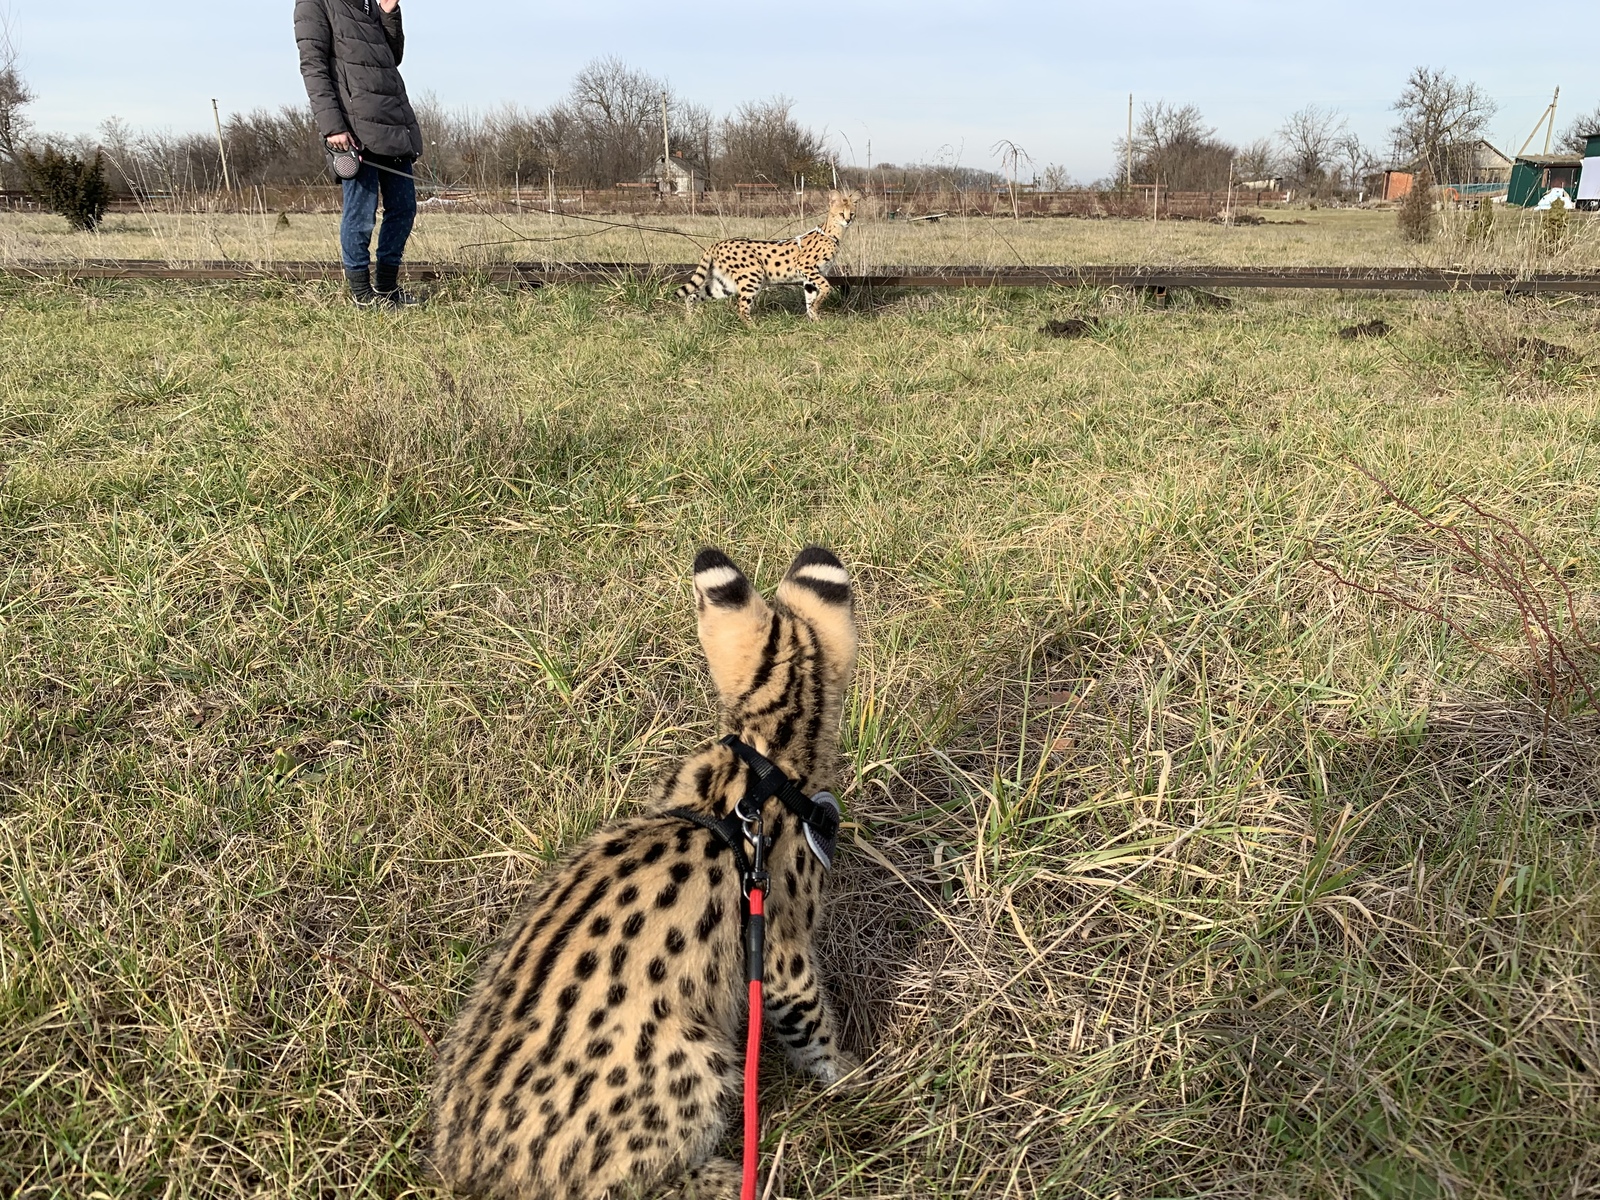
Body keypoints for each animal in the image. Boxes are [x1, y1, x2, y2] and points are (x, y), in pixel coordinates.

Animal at [428, 550, 864, 1196]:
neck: (763, 759)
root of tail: (464, 1169)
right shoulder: (781, 951)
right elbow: (814, 1031)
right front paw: (856, 1078)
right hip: (695, 1063)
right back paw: (727, 1176)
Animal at [672, 190, 857, 320]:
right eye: (841, 213)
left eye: (852, 213)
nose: (848, 220)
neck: (832, 233)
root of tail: (717, 243)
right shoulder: (806, 267)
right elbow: (826, 286)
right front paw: (817, 309)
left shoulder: (809, 277)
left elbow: (810, 301)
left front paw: (815, 321)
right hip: (752, 276)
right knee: (741, 307)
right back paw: (753, 329)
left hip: (724, 284)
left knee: (692, 296)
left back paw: (690, 322)